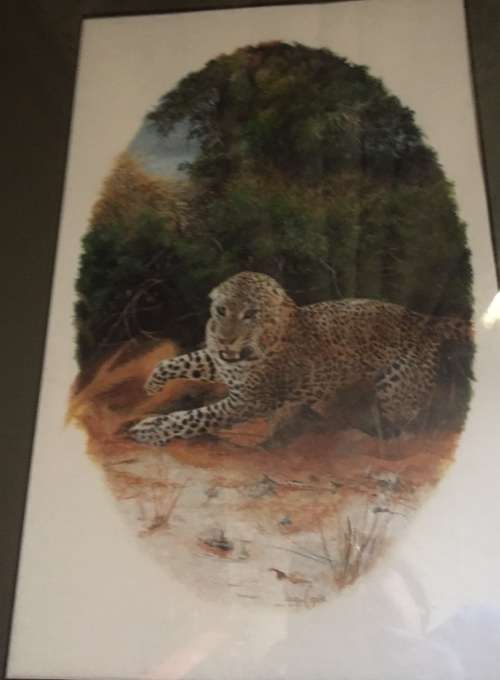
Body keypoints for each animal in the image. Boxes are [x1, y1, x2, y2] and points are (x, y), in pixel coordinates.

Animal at [129, 271, 472, 447]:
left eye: (251, 313)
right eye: (222, 310)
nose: (226, 338)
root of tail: (423, 317)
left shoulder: (247, 402)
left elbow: (193, 417)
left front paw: (151, 430)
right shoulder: (223, 364)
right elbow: (181, 361)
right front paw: (152, 386)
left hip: (397, 395)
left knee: (411, 426)